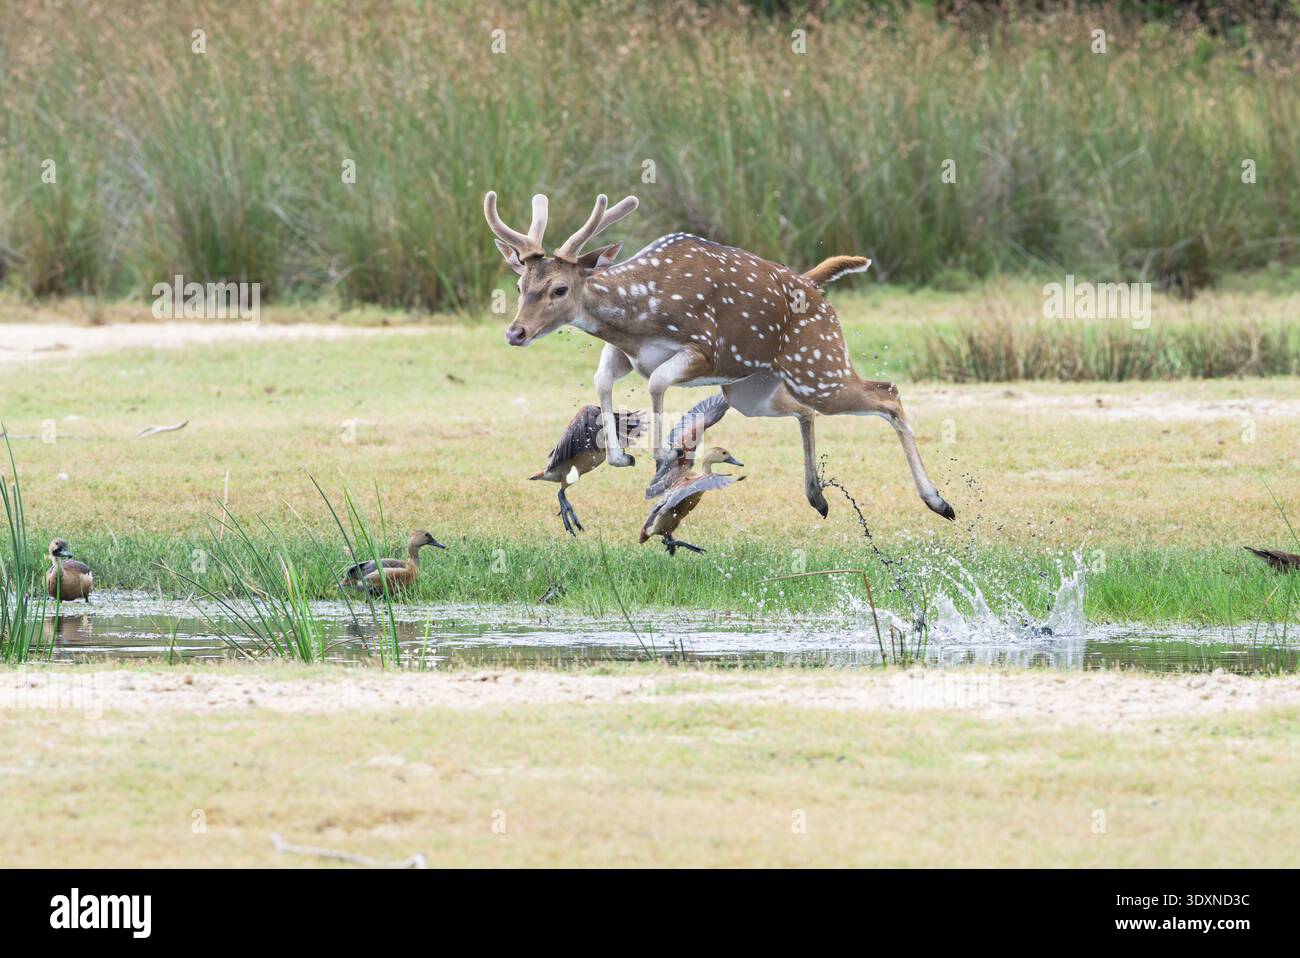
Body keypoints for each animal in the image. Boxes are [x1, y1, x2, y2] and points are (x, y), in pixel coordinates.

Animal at [484, 190, 956, 522]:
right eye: (520, 284)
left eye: (559, 288)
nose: (515, 332)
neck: (637, 316)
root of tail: (814, 284)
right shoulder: (626, 353)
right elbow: (603, 380)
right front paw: (621, 456)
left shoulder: (704, 350)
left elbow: (656, 383)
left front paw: (662, 457)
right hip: (750, 391)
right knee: (805, 411)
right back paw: (818, 497)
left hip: (820, 365)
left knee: (888, 392)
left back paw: (939, 501)